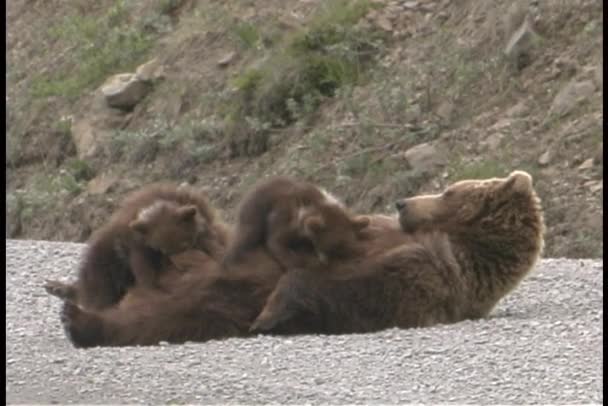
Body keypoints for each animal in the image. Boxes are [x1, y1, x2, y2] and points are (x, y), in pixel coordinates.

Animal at [45, 184, 233, 310]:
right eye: (162, 251)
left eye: (187, 244)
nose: (181, 265)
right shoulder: (135, 243)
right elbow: (141, 267)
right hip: (106, 259)